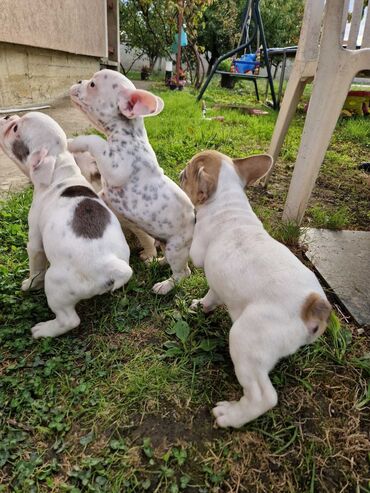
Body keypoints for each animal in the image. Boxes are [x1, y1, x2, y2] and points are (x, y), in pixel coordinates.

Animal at [0, 110, 132, 338]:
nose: (8, 117)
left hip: (55, 284)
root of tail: (110, 265)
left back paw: (44, 329)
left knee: (69, 320)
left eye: (15, 129)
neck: (59, 168)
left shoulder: (34, 242)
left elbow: (35, 268)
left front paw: (29, 284)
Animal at [69, 68, 197, 292]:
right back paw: (159, 262)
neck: (128, 133)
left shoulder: (115, 166)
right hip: (165, 242)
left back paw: (165, 286)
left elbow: (95, 140)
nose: (79, 80)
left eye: (92, 85)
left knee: (183, 273)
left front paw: (73, 142)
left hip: (177, 246)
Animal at [180, 150, 332, 426]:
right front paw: (202, 306)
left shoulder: (199, 253)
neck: (228, 201)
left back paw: (230, 415)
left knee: (264, 397)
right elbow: (213, 295)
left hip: (244, 340)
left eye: (186, 174)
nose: (178, 173)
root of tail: (313, 307)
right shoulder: (218, 280)